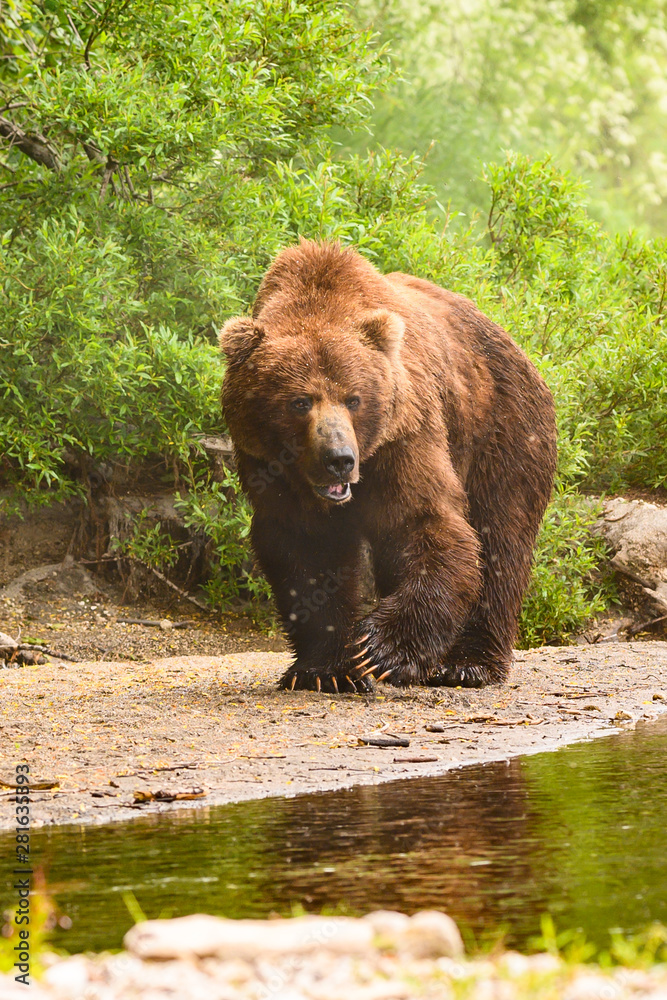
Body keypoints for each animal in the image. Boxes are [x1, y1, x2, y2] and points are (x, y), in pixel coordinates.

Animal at [220, 243, 560, 696]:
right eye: (300, 401)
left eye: (354, 399)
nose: (339, 459)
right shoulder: (271, 466)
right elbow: (308, 549)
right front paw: (327, 669)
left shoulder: (403, 435)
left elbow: (425, 522)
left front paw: (379, 648)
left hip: (502, 427)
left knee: (501, 535)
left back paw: (467, 664)